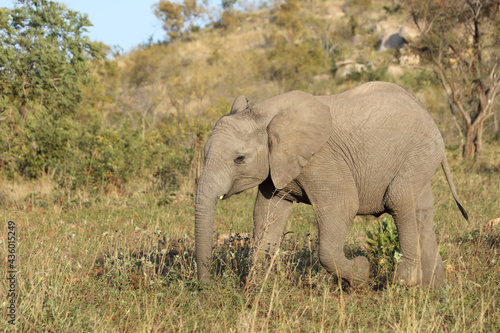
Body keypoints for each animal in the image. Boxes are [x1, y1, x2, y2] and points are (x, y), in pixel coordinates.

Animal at [195, 81, 468, 288]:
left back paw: (405, 281)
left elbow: (343, 206)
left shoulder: (321, 159)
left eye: (239, 159)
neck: (264, 115)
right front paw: (256, 289)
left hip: (419, 153)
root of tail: (427, 113)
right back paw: (433, 288)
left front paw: (361, 273)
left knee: (399, 201)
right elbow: (267, 212)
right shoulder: (276, 166)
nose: (205, 287)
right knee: (422, 211)